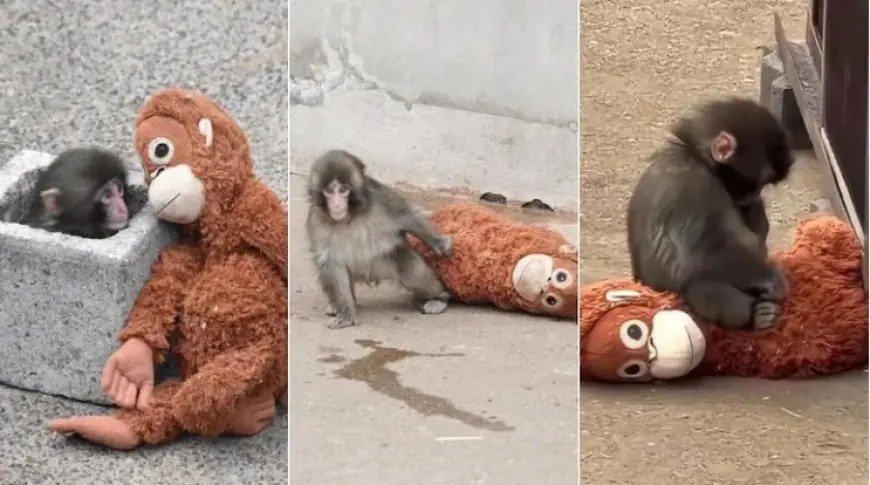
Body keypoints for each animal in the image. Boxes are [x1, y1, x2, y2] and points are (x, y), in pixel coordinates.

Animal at [305, 149, 454, 329]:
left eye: (343, 190)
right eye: (328, 191)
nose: (337, 205)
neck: (349, 218)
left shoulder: (381, 200)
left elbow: (406, 217)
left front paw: (440, 243)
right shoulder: (316, 222)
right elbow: (330, 263)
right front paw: (346, 314)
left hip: (382, 262)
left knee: (411, 271)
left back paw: (438, 298)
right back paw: (339, 305)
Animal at [626, 97, 794, 330]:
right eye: (760, 181)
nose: (755, 194)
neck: (695, 156)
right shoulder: (694, 185)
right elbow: (702, 255)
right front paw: (772, 279)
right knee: (701, 281)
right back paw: (754, 316)